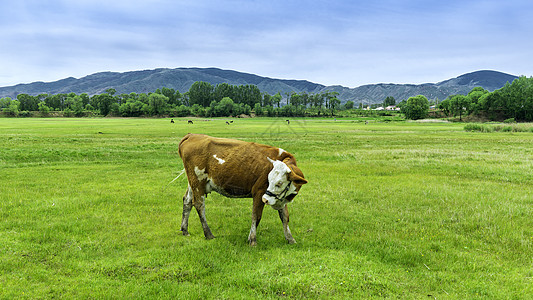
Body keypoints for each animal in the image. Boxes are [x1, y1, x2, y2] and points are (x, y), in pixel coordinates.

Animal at [177, 134, 306, 246]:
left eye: (279, 183)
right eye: (269, 179)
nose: (265, 199)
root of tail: (192, 135)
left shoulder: (279, 198)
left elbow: (285, 217)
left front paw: (290, 239)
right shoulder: (259, 192)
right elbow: (256, 216)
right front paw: (252, 240)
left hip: (192, 182)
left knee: (187, 201)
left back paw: (185, 230)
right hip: (198, 181)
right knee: (199, 205)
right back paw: (208, 234)